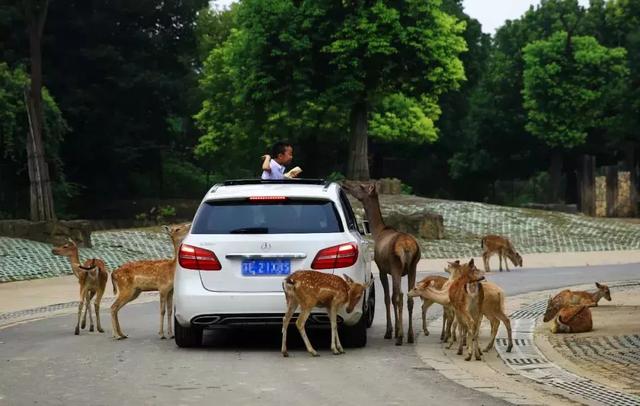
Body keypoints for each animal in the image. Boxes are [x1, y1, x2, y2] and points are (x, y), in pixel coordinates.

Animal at [342, 184, 422, 346]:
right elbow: (391, 296)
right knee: (409, 296)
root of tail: (407, 247)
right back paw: (410, 336)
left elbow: (387, 297)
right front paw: (396, 329)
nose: (345, 184)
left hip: (396, 264)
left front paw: (390, 331)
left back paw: (399, 336)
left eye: (361, 186)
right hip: (413, 266)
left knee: (399, 296)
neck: (378, 232)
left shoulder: (382, 269)